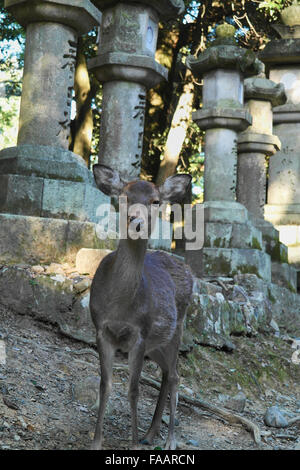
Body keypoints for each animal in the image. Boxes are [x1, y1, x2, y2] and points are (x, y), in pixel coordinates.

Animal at [89, 163, 193, 450]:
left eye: (155, 201)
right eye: (124, 195)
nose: (136, 222)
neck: (120, 307)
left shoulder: (140, 334)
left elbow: (133, 390)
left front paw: (133, 444)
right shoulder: (101, 329)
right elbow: (105, 385)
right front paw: (96, 441)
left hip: (177, 329)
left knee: (175, 376)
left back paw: (169, 441)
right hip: (156, 345)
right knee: (167, 373)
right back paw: (150, 433)